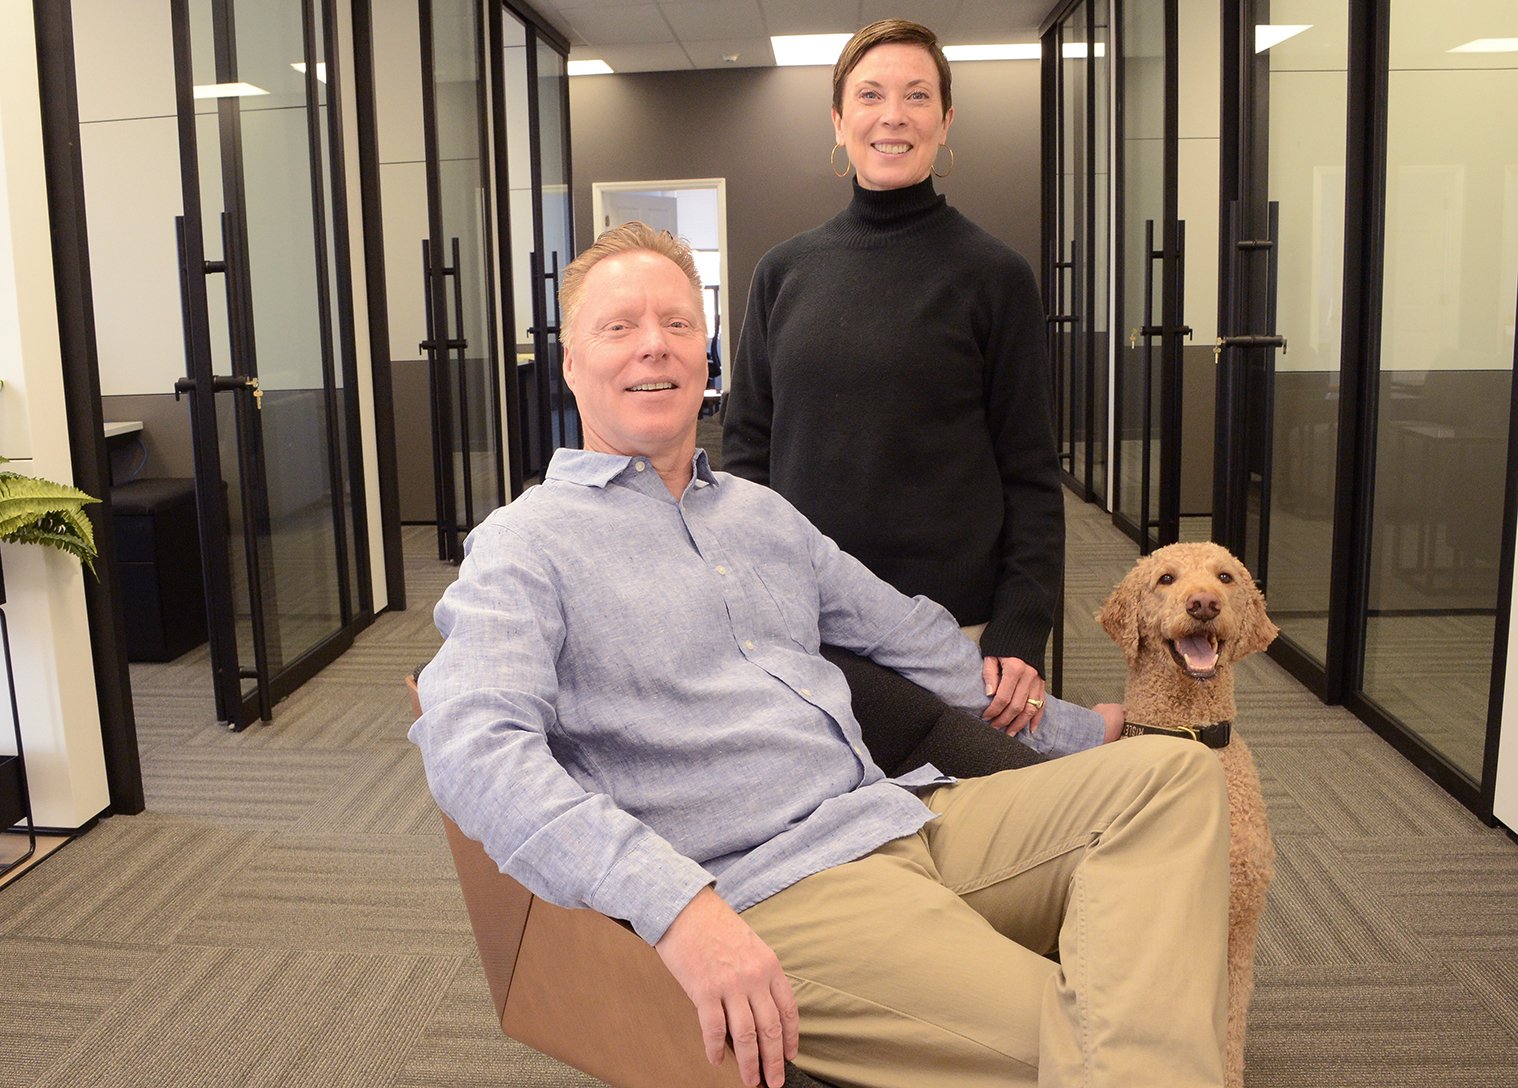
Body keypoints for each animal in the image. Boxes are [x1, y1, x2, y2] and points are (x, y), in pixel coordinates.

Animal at [1099, 540, 1275, 1080]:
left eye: (1226, 577)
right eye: (1166, 579)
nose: (1204, 604)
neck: (1189, 736)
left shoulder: (1239, 928)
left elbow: (1231, 1031)